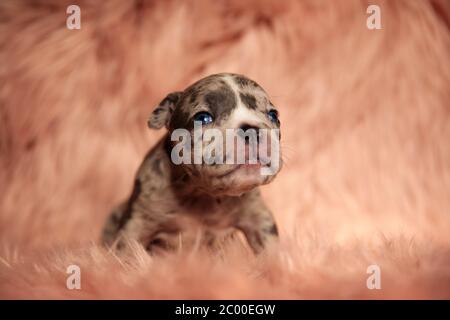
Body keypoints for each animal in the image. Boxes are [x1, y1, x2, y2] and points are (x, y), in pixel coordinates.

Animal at [102, 74, 282, 254]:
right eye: (202, 118)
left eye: (273, 115)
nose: (252, 130)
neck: (203, 194)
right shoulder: (138, 221)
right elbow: (127, 251)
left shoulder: (259, 218)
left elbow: (271, 250)